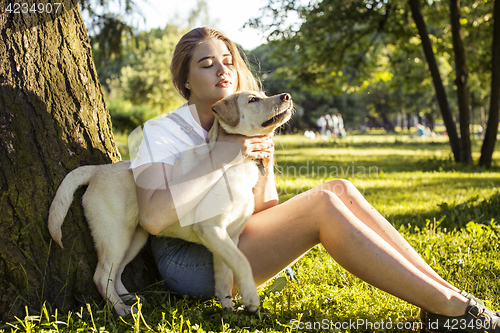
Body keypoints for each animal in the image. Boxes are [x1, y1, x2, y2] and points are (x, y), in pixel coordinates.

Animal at [47, 90, 292, 314]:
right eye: (253, 100)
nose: (286, 96)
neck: (238, 164)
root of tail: (97, 170)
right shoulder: (211, 228)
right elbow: (242, 262)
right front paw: (250, 298)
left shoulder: (229, 235)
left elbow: (225, 274)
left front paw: (228, 309)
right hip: (115, 235)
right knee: (101, 275)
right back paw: (121, 309)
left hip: (135, 238)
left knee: (115, 273)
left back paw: (129, 298)